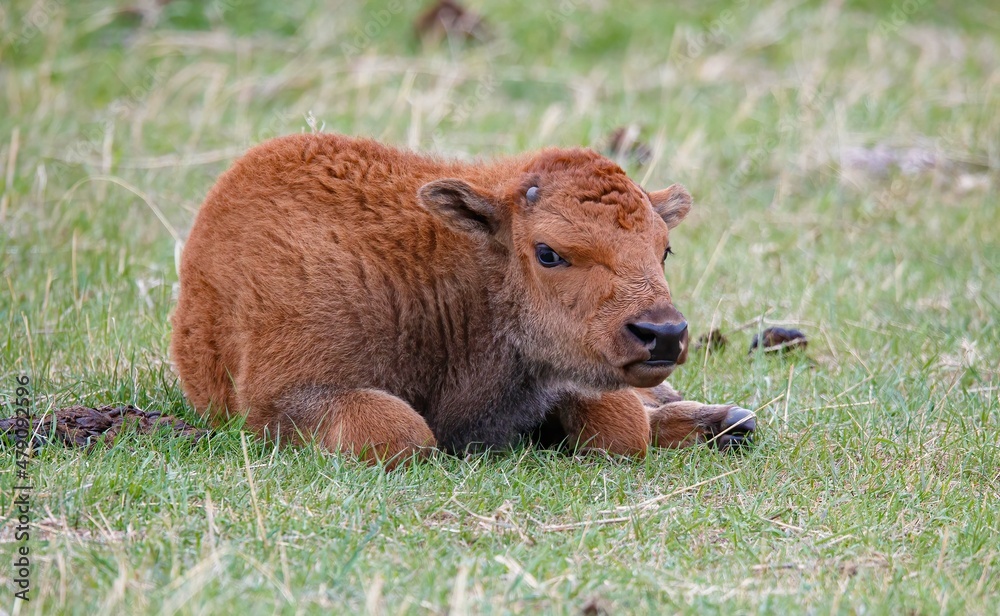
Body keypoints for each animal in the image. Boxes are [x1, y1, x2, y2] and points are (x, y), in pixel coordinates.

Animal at [170, 133, 755, 467]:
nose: (664, 334)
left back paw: (730, 420)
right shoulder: (281, 401)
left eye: (664, 249)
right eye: (548, 252)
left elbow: (623, 425)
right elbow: (403, 433)